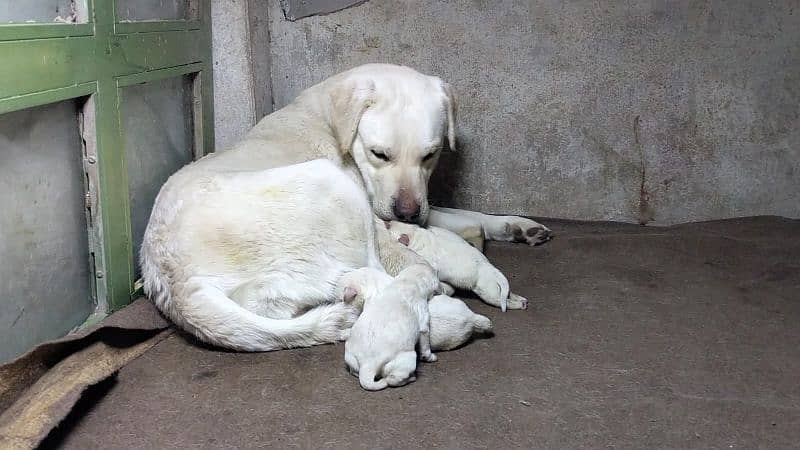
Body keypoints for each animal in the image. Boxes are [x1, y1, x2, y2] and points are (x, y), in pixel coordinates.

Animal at [141, 63, 552, 352]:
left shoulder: (416, 204)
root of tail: (169, 278)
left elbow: (466, 216)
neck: (335, 124)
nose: (406, 214)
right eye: (379, 154)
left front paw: (517, 226)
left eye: (430, 155)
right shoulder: (377, 211)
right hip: (332, 186)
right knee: (393, 278)